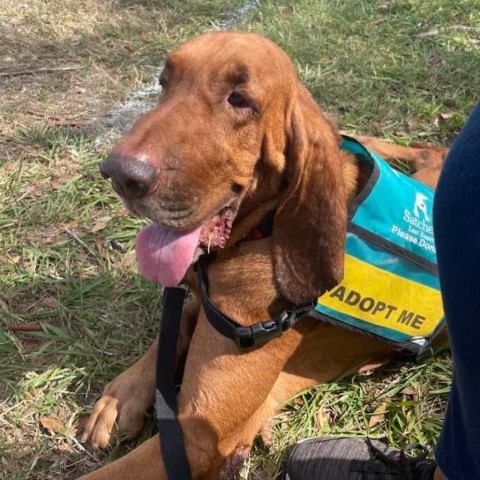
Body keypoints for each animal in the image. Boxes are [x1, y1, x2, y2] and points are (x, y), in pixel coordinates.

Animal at [78, 31, 446, 478]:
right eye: (164, 82)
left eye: (240, 99)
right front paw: (122, 395)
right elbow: (176, 321)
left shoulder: (196, 434)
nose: (119, 174)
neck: (264, 228)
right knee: (426, 149)